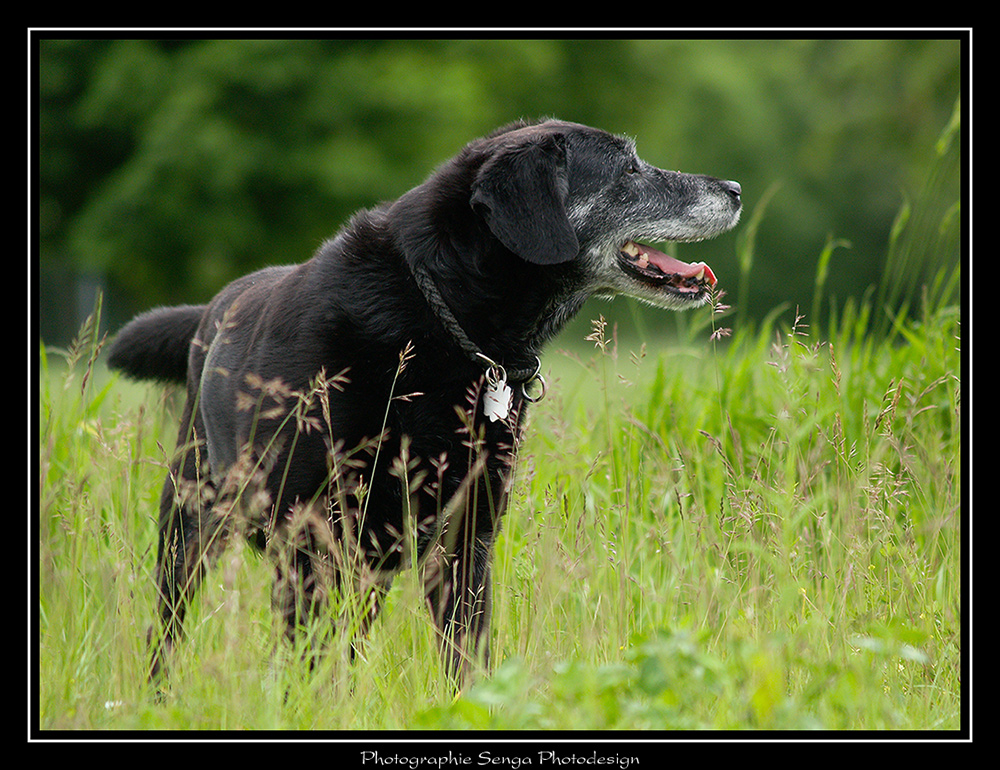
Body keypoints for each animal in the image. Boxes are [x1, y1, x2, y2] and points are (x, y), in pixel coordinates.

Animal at [109, 120, 740, 684]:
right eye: (628, 168)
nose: (735, 189)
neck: (443, 322)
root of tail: (211, 312)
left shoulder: (466, 541)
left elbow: (467, 662)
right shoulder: (307, 539)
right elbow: (306, 663)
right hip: (191, 525)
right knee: (167, 634)